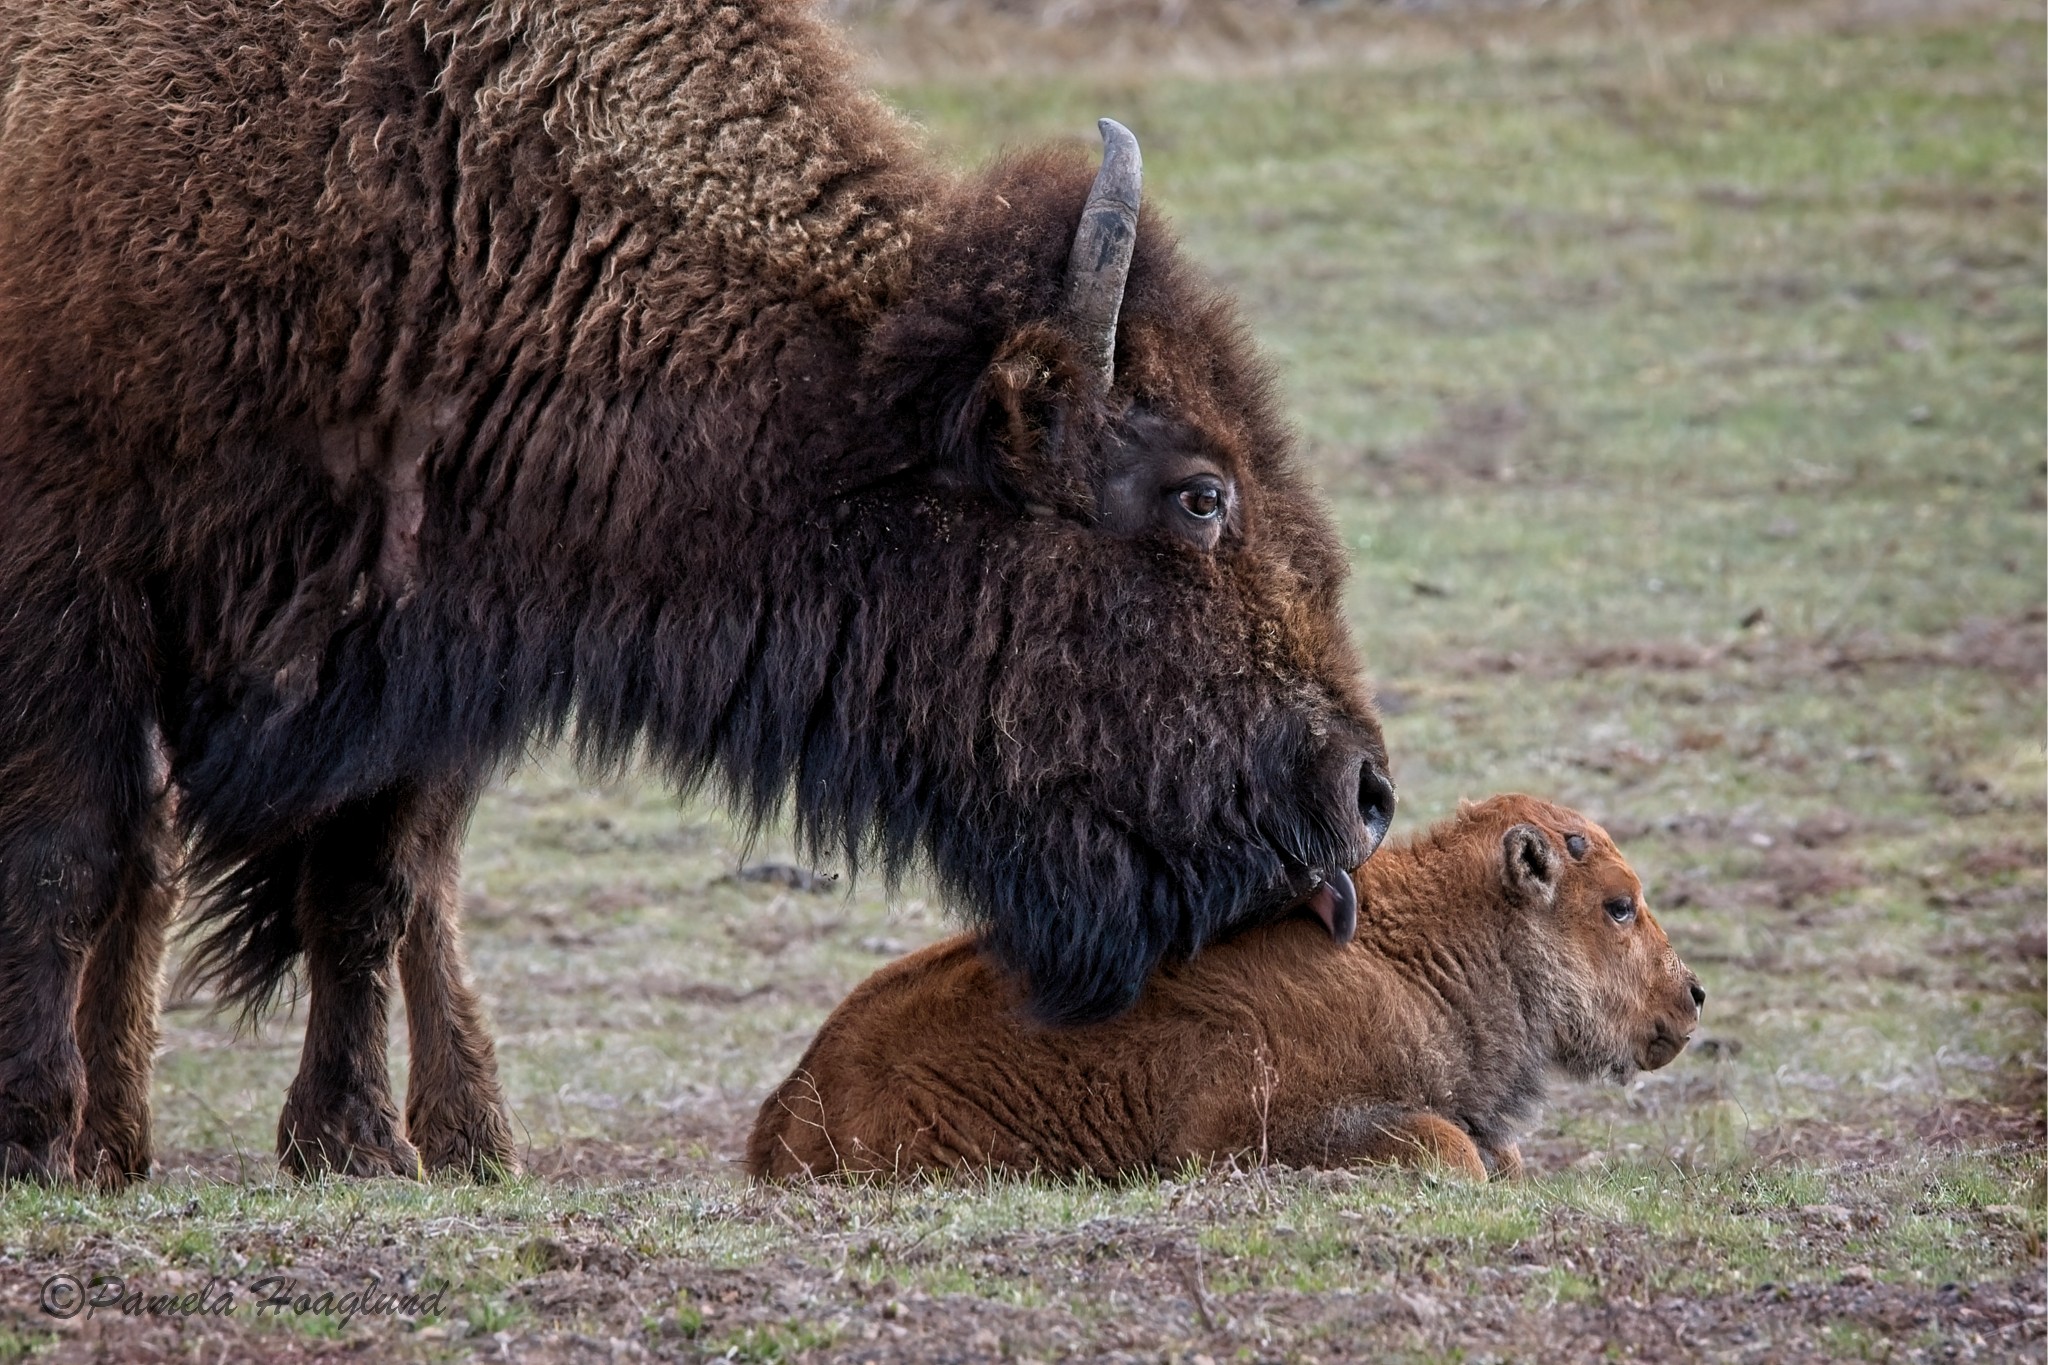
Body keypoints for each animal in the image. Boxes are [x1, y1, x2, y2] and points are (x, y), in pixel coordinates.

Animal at [0, 0, 1392, 1186]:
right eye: (1198, 494)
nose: (1363, 792)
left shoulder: (414, 647)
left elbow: (362, 887)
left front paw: (351, 1149)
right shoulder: (70, 600)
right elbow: (69, 858)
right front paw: (30, 1140)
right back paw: (102, 1142)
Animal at [749, 794, 1695, 1178]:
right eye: (1618, 904)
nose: (1692, 996)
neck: (1419, 951)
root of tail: (791, 1102)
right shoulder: (1262, 1127)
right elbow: (1451, 1147)